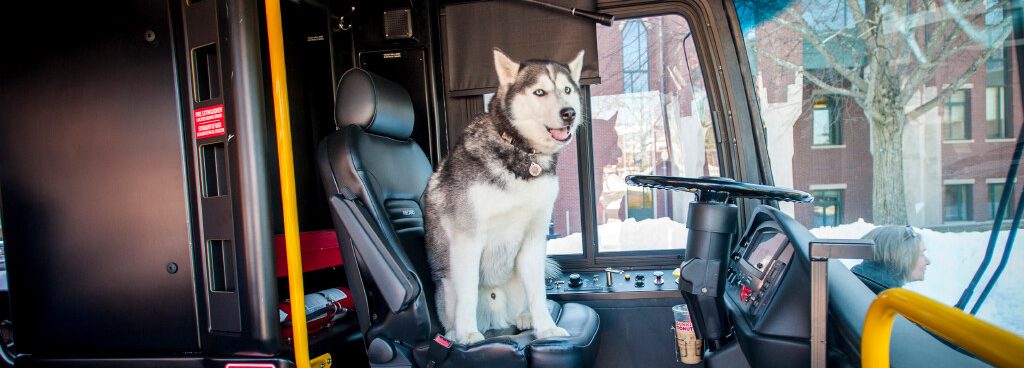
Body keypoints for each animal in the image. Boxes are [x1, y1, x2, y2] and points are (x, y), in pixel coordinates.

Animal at [423, 48, 585, 346]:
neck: (522, 155)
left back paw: (525, 317)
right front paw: (468, 335)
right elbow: (467, 297)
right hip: (447, 284)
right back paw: (454, 332)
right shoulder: (467, 240)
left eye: (567, 89)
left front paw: (546, 329)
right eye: (539, 92)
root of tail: (496, 320)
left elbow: (539, 295)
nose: (569, 113)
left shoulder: (534, 239)